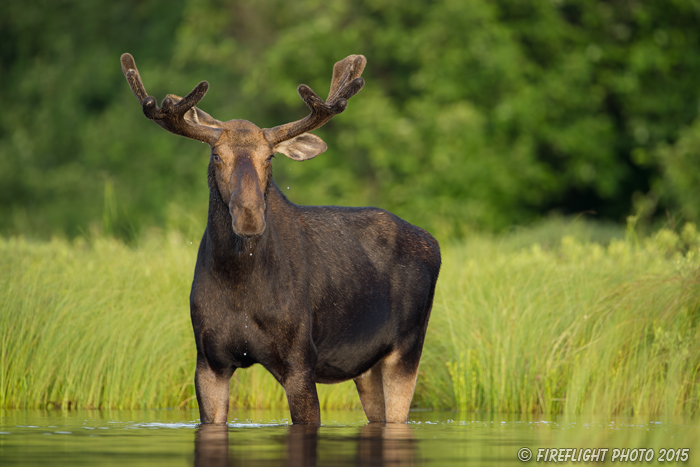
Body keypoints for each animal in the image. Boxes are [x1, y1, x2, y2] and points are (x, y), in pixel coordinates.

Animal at [118, 53, 440, 426]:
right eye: (216, 155)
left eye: (269, 156)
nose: (249, 216)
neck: (239, 281)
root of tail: (434, 243)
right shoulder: (208, 361)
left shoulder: (300, 359)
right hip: (366, 367)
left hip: (407, 348)